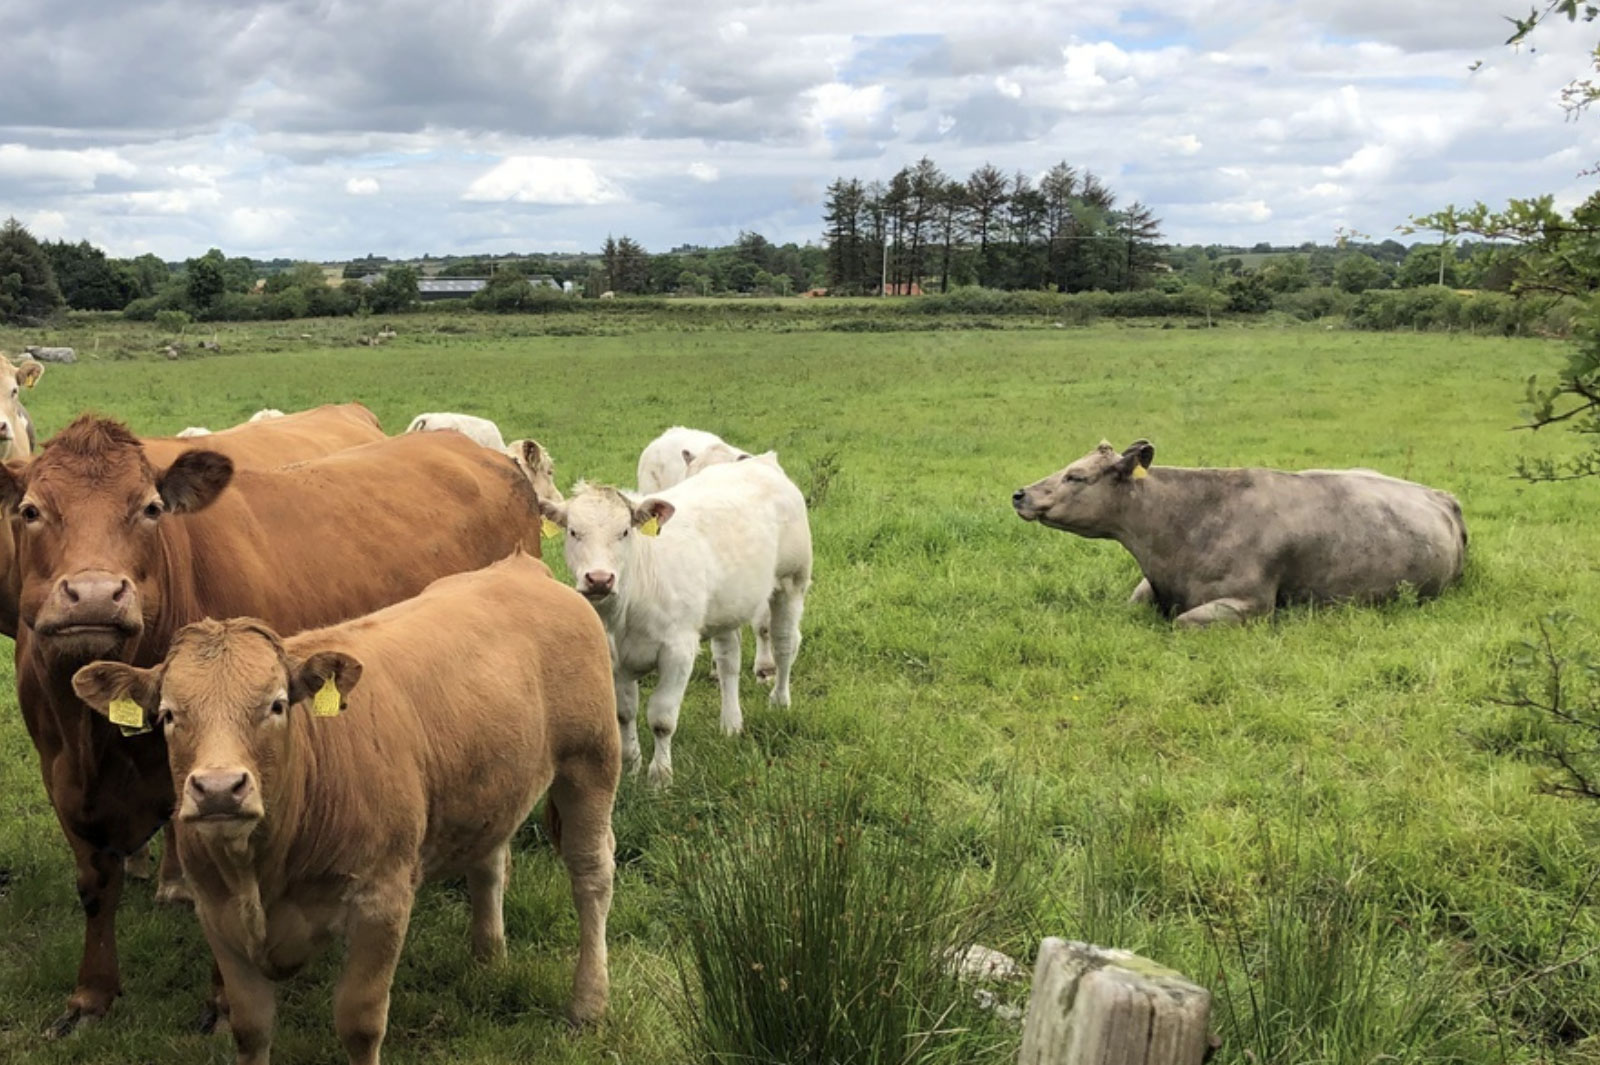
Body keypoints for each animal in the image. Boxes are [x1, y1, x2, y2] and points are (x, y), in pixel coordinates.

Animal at [2, 416, 543, 1034]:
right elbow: (96, 885)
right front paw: (91, 995)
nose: (94, 594)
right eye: (31, 510)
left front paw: (222, 1002)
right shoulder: (61, 778)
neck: (97, 741)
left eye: (151, 508)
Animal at [71, 553, 618, 1064]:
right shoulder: (217, 913)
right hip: (491, 783)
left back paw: (589, 1004)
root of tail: (520, 567)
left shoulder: (383, 900)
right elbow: (251, 1028)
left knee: (591, 876)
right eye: (168, 715)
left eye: (275, 705)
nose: (220, 788)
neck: (262, 869)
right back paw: (488, 959)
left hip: (591, 762)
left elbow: (359, 1022)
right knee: (489, 863)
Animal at [540, 459, 812, 786]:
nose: (600, 579)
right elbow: (624, 713)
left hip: (792, 581)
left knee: (785, 644)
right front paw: (630, 765)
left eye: (624, 532)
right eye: (573, 532)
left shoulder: (678, 650)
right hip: (726, 608)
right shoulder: (614, 657)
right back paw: (731, 723)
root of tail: (761, 460)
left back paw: (780, 701)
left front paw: (660, 776)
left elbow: (662, 718)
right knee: (728, 660)